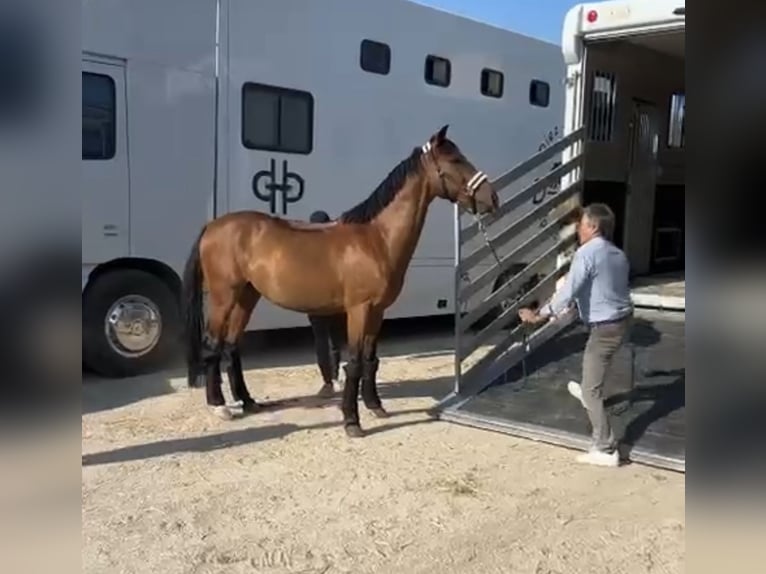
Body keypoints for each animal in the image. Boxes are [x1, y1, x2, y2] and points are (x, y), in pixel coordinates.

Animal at [181, 124, 499, 437]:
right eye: (455, 159)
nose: (491, 198)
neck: (377, 239)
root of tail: (212, 226)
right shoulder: (359, 310)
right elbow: (355, 363)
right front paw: (352, 422)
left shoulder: (378, 311)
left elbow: (371, 360)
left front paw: (375, 406)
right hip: (224, 297)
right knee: (213, 344)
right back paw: (219, 406)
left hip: (247, 296)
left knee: (232, 345)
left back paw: (247, 402)